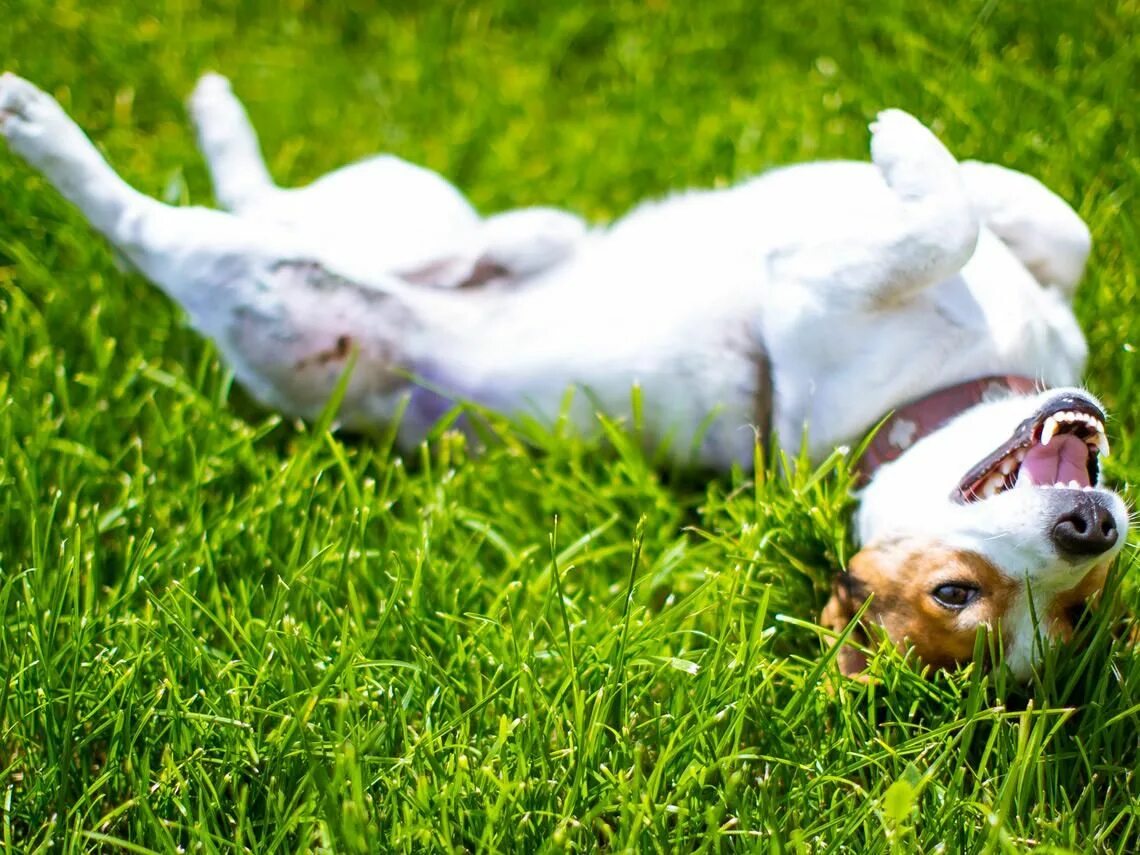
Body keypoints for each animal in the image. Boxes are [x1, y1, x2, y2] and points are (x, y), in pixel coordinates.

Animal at [0, 70, 1126, 679]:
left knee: (147, 224)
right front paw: (916, 152)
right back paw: (215, 113)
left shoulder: (814, 292)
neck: (942, 394)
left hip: (270, 292)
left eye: (1072, 606)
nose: (1092, 525)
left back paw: (42, 124)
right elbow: (1023, 216)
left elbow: (958, 220)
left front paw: (911, 160)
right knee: (275, 199)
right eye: (954, 589)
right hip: (407, 202)